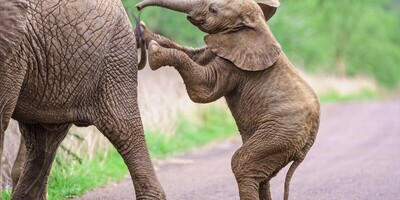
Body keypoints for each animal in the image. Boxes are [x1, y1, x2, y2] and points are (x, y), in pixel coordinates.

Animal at [136, 0, 320, 199]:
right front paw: (144, 31)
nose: (138, 7)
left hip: (282, 133)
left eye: (213, 9)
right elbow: (195, 55)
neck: (255, 25)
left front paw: (155, 51)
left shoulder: (235, 66)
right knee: (263, 177)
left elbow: (204, 88)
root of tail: (310, 139)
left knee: (242, 165)